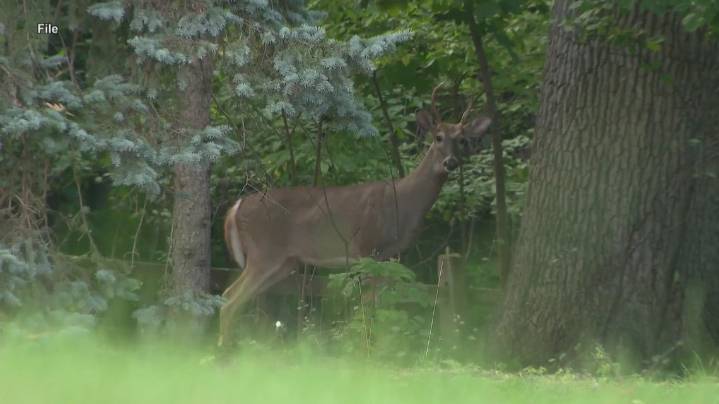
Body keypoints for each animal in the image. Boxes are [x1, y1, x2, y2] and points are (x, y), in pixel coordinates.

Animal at [218, 85, 492, 348]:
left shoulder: (388, 256)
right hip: (263, 252)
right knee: (230, 298)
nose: (450, 162)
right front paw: (365, 350)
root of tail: (236, 207)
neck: (403, 204)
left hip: (284, 262)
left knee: (239, 298)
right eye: (438, 137)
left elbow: (379, 305)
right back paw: (225, 352)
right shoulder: (367, 248)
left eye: (462, 140)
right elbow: (367, 306)